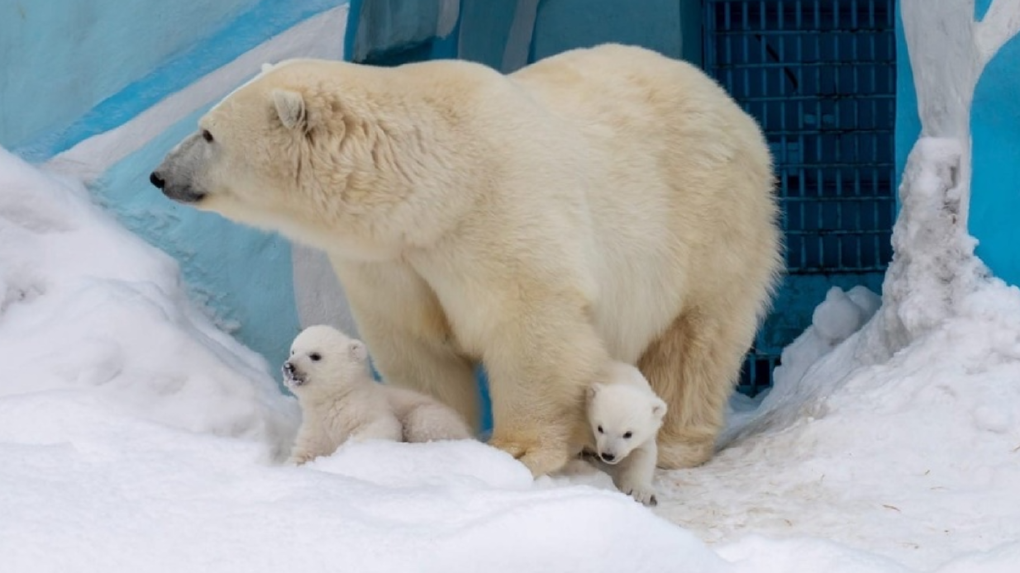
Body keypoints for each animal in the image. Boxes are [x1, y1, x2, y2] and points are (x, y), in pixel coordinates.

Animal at [285, 324, 471, 460]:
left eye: (315, 355)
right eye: (293, 350)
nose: (288, 366)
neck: (338, 397)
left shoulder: (366, 408)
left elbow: (383, 427)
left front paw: (345, 449)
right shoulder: (316, 427)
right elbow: (305, 451)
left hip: (434, 416)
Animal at [587, 360, 665, 503]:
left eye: (628, 434)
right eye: (600, 428)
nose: (608, 455)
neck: (621, 378)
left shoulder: (646, 435)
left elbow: (643, 455)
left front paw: (641, 492)